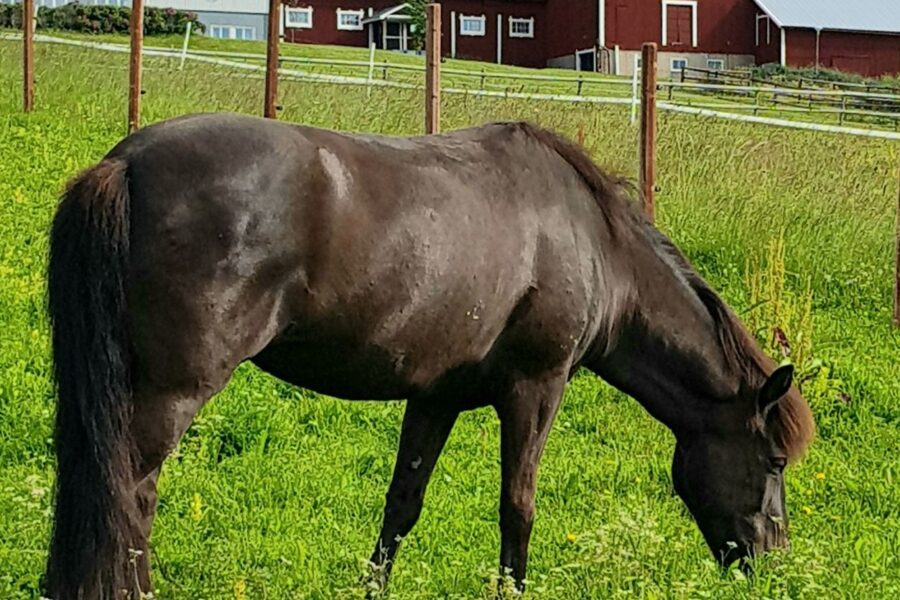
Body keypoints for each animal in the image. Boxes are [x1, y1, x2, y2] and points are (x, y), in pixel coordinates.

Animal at [44, 113, 816, 600]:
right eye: (774, 460)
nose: (772, 565)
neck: (594, 244)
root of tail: (123, 165)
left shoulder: (435, 396)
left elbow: (402, 504)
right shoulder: (536, 389)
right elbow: (517, 506)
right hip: (168, 394)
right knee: (129, 496)